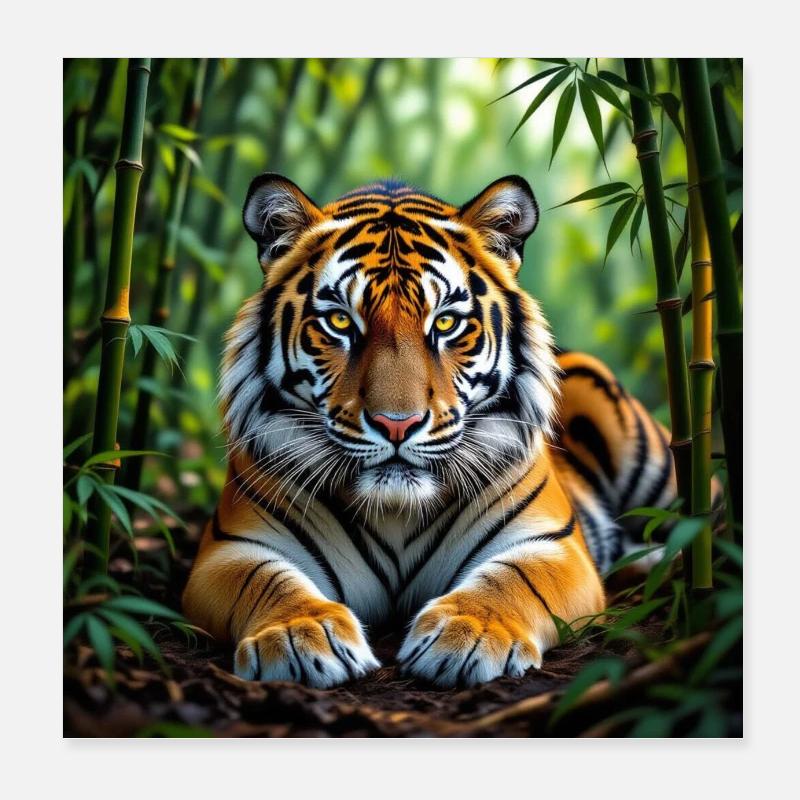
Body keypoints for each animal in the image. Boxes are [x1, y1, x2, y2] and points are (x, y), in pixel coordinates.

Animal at [182, 173, 677, 689]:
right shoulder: (232, 549)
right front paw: (299, 635)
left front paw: (470, 634)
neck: (396, 512)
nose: (396, 424)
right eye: (339, 320)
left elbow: (512, 580)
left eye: (446, 322)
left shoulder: (551, 545)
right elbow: (267, 581)